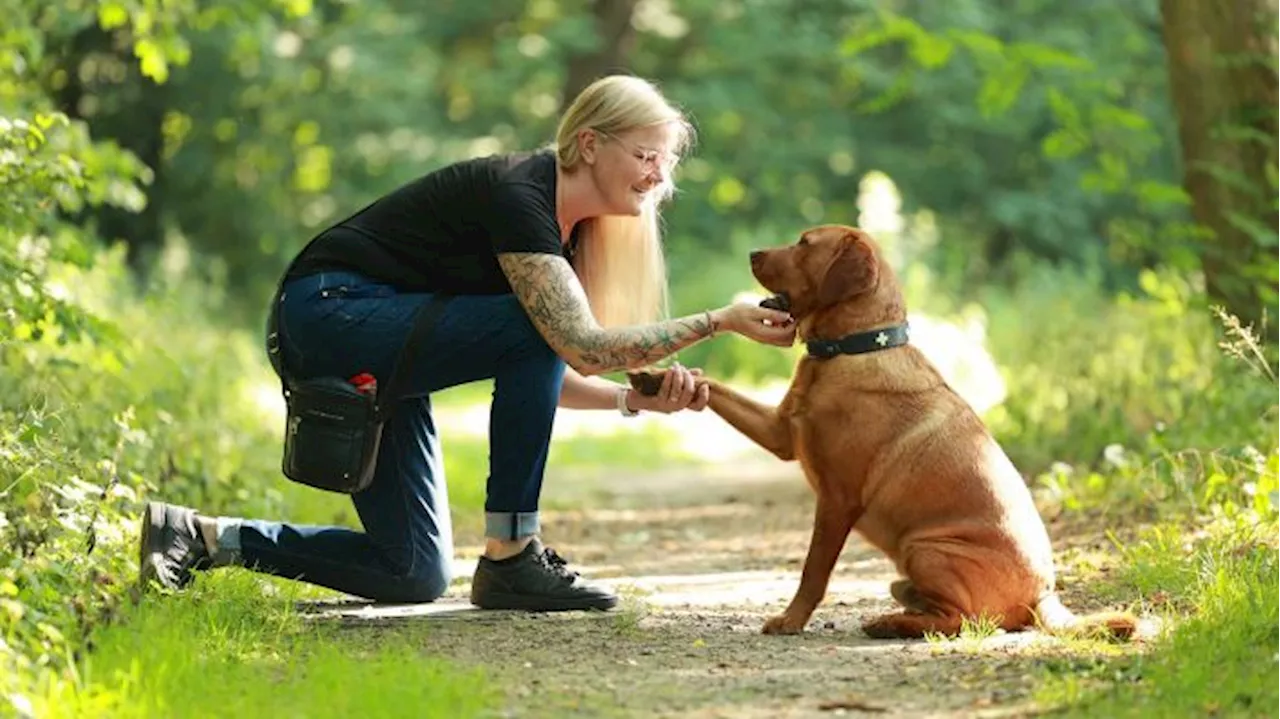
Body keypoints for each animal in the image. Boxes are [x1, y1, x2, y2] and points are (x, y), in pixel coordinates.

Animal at [624, 225, 1136, 637]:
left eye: (804, 243)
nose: (752, 252)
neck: (849, 349)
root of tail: (1045, 595)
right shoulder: (781, 434)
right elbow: (713, 386)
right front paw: (655, 379)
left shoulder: (837, 498)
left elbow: (814, 572)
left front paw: (790, 621)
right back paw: (902, 614)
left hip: (925, 547)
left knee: (965, 621)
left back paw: (889, 624)